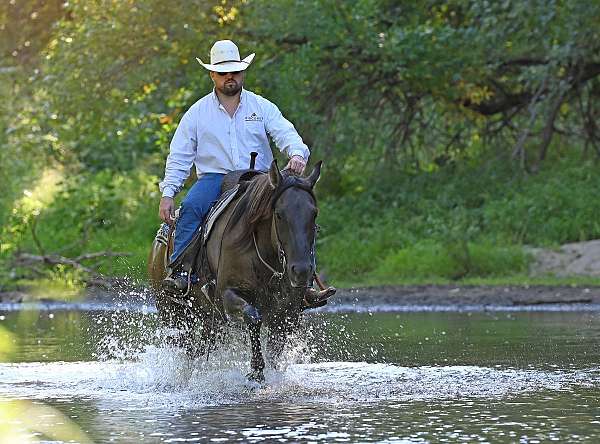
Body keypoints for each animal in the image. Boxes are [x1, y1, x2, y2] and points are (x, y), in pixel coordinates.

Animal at [148, 160, 330, 382]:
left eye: (314, 213)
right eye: (279, 214)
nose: (301, 271)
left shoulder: (287, 312)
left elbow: (275, 348)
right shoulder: (227, 294)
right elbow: (253, 317)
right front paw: (256, 371)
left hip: (209, 319)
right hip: (174, 314)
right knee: (185, 348)